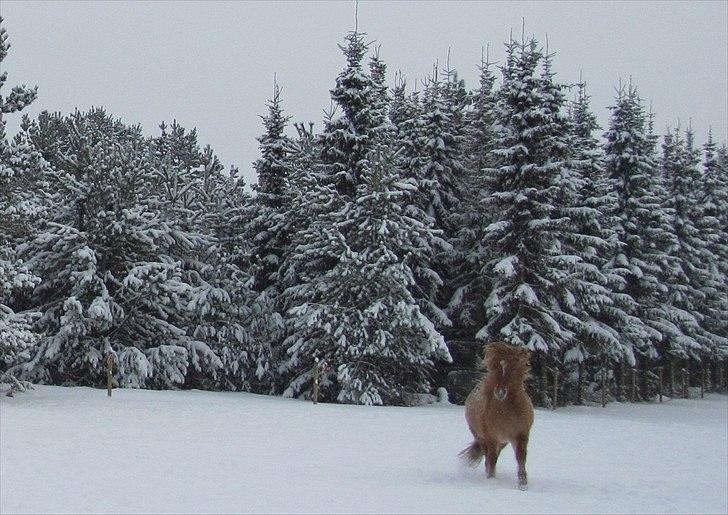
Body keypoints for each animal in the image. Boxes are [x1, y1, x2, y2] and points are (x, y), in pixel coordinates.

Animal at [460, 342, 536, 492]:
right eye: (494, 367)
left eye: (514, 367)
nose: (500, 393)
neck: (506, 413)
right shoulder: (491, 438)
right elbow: (491, 459)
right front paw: (491, 479)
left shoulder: (521, 434)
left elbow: (521, 457)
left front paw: (523, 484)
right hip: (482, 438)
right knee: (489, 458)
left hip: (503, 442)